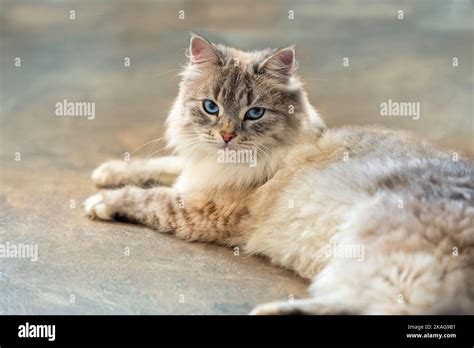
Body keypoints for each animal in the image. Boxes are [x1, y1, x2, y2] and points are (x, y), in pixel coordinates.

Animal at [84, 34, 474, 314]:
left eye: (254, 113)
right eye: (211, 108)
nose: (227, 136)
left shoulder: (201, 209)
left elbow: (147, 196)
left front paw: (100, 201)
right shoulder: (196, 172)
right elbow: (161, 165)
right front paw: (108, 171)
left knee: (389, 308)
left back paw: (267, 311)